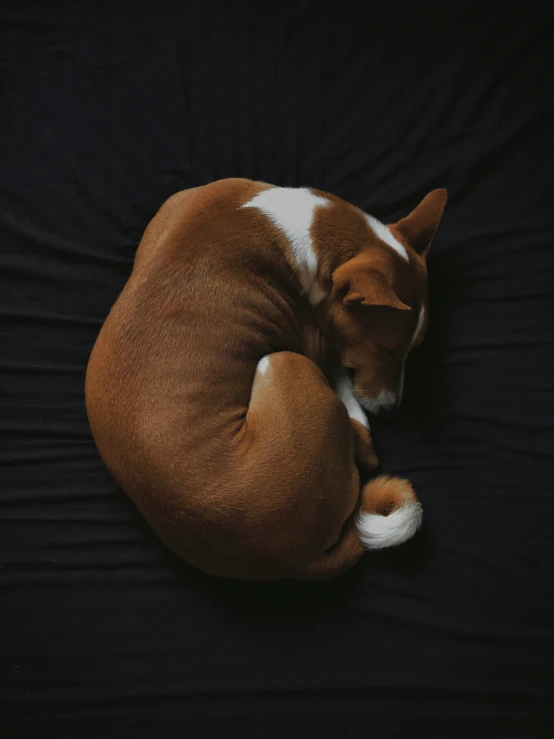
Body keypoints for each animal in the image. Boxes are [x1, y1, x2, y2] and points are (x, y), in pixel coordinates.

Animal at [87, 178, 448, 580]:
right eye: (387, 350)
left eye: (414, 349)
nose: (393, 411)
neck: (303, 225)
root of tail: (296, 557)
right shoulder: (314, 341)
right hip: (282, 362)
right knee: (366, 452)